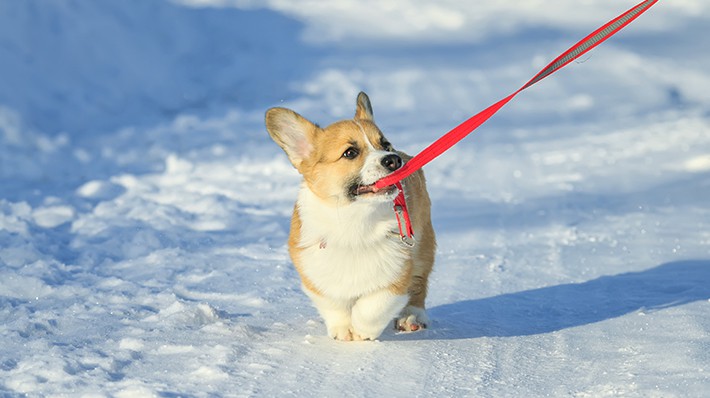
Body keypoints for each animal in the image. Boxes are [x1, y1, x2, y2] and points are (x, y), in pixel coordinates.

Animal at [266, 91, 436, 340]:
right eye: (350, 153)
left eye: (385, 144)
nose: (393, 159)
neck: (354, 219)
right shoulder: (313, 271)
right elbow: (332, 301)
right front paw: (343, 329)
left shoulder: (399, 268)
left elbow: (375, 305)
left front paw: (361, 330)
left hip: (423, 244)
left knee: (419, 283)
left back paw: (412, 317)